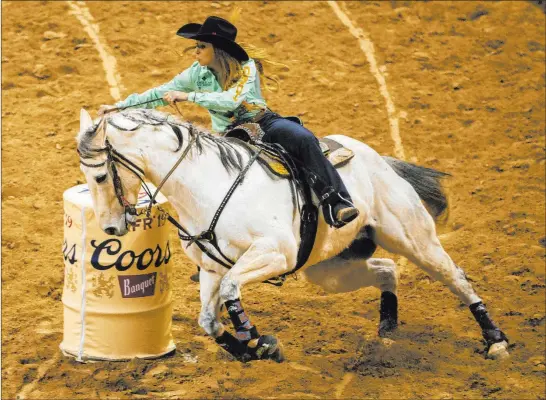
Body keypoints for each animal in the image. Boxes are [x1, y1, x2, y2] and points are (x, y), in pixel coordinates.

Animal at [74, 108, 508, 362]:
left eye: (101, 176)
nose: (110, 227)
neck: (209, 186)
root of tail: (377, 160)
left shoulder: (274, 253)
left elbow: (232, 291)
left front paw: (258, 339)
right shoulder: (212, 269)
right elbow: (208, 320)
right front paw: (247, 349)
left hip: (413, 237)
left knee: (455, 277)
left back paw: (496, 339)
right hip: (330, 269)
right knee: (386, 269)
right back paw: (386, 328)